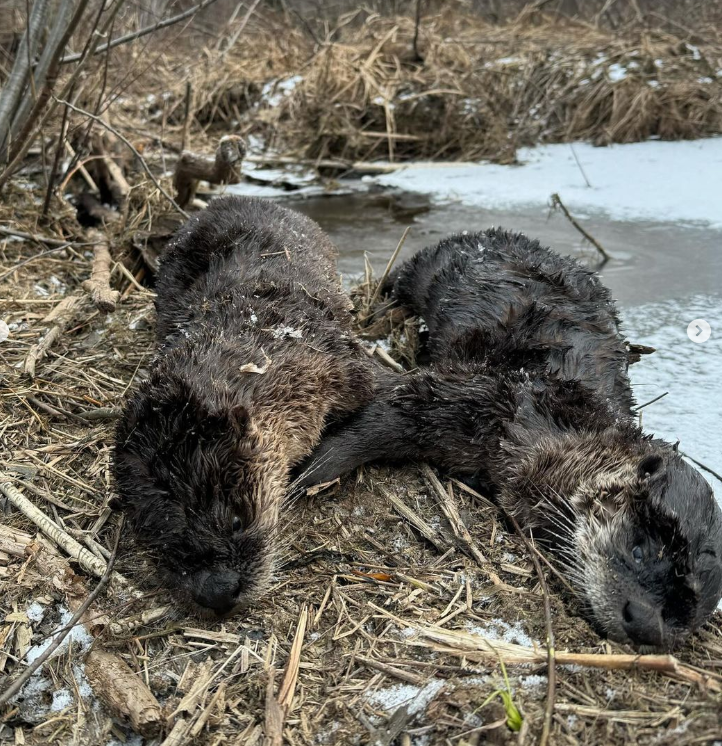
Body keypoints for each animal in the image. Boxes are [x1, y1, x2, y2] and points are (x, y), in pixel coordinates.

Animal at [298, 230, 720, 648]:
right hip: (427, 264)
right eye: (637, 549)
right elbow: (389, 412)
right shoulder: (489, 397)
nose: (646, 624)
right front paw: (308, 472)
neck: (549, 429)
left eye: (685, 614)